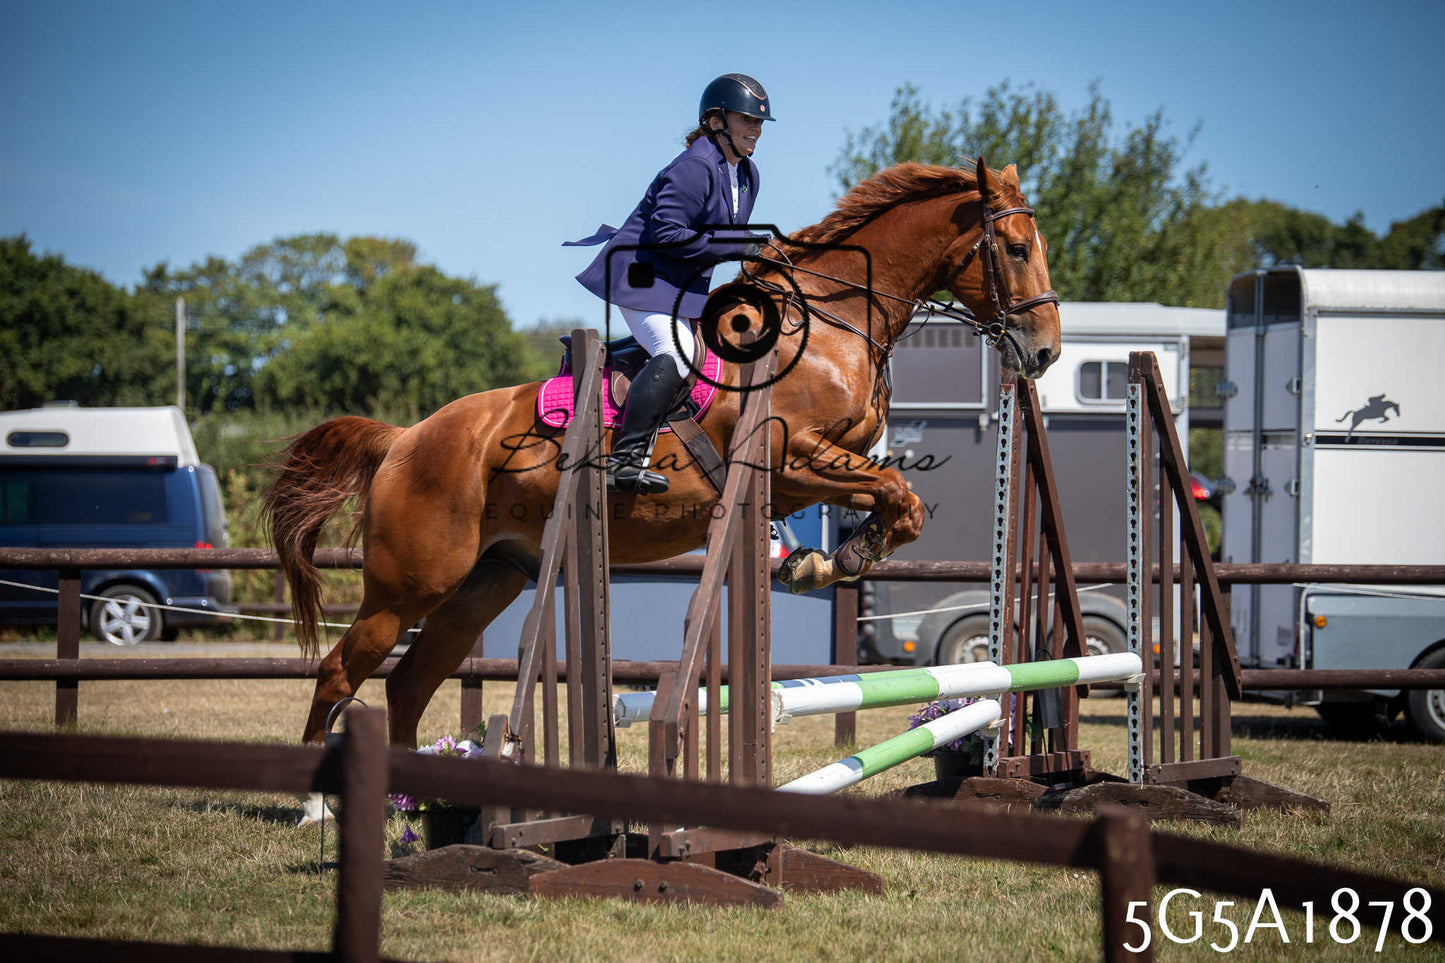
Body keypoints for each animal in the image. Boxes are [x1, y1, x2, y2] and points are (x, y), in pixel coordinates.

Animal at [264, 157, 1061, 751]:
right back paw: (318, 806)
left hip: (485, 582)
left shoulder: (821, 466)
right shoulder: (791, 457)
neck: (833, 320)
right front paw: (838, 559)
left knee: (409, 682)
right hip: (408, 585)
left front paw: (821, 559)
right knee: (341, 672)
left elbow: (896, 500)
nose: (1045, 352)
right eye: (1016, 249)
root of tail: (404, 439)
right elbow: (898, 492)